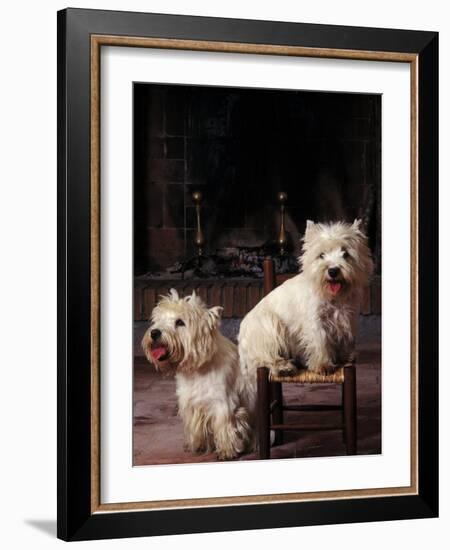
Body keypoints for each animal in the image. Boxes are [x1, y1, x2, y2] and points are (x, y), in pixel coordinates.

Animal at [142, 292, 253, 464]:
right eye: (158, 320)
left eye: (180, 322)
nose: (154, 333)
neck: (197, 369)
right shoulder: (191, 404)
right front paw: (198, 446)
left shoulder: (223, 403)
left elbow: (225, 426)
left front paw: (227, 451)